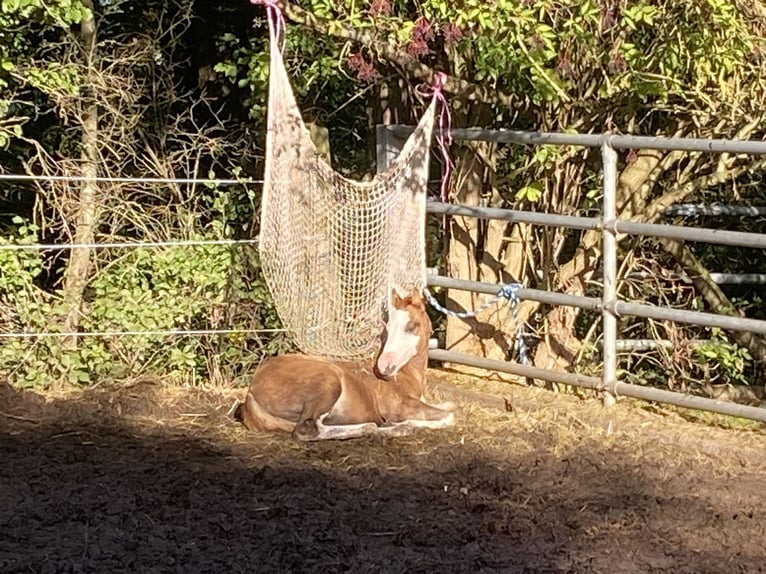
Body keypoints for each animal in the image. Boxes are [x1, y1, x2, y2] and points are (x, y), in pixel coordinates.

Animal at [234, 288, 455, 441]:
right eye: (387, 328)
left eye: (412, 325)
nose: (384, 367)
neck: (404, 375)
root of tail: (251, 391)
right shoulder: (400, 407)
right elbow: (449, 416)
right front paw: (405, 424)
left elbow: (447, 406)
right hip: (328, 382)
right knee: (308, 430)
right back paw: (383, 429)